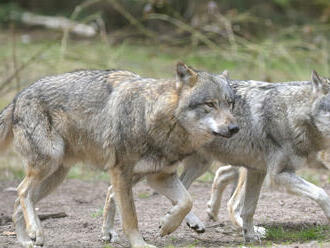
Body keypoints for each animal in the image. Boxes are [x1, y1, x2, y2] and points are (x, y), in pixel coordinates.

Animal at [179, 70, 330, 242]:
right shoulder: (278, 175)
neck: (291, 115)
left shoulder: (258, 171)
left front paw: (250, 235)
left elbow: (249, 209)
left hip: (203, 165)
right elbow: (322, 193)